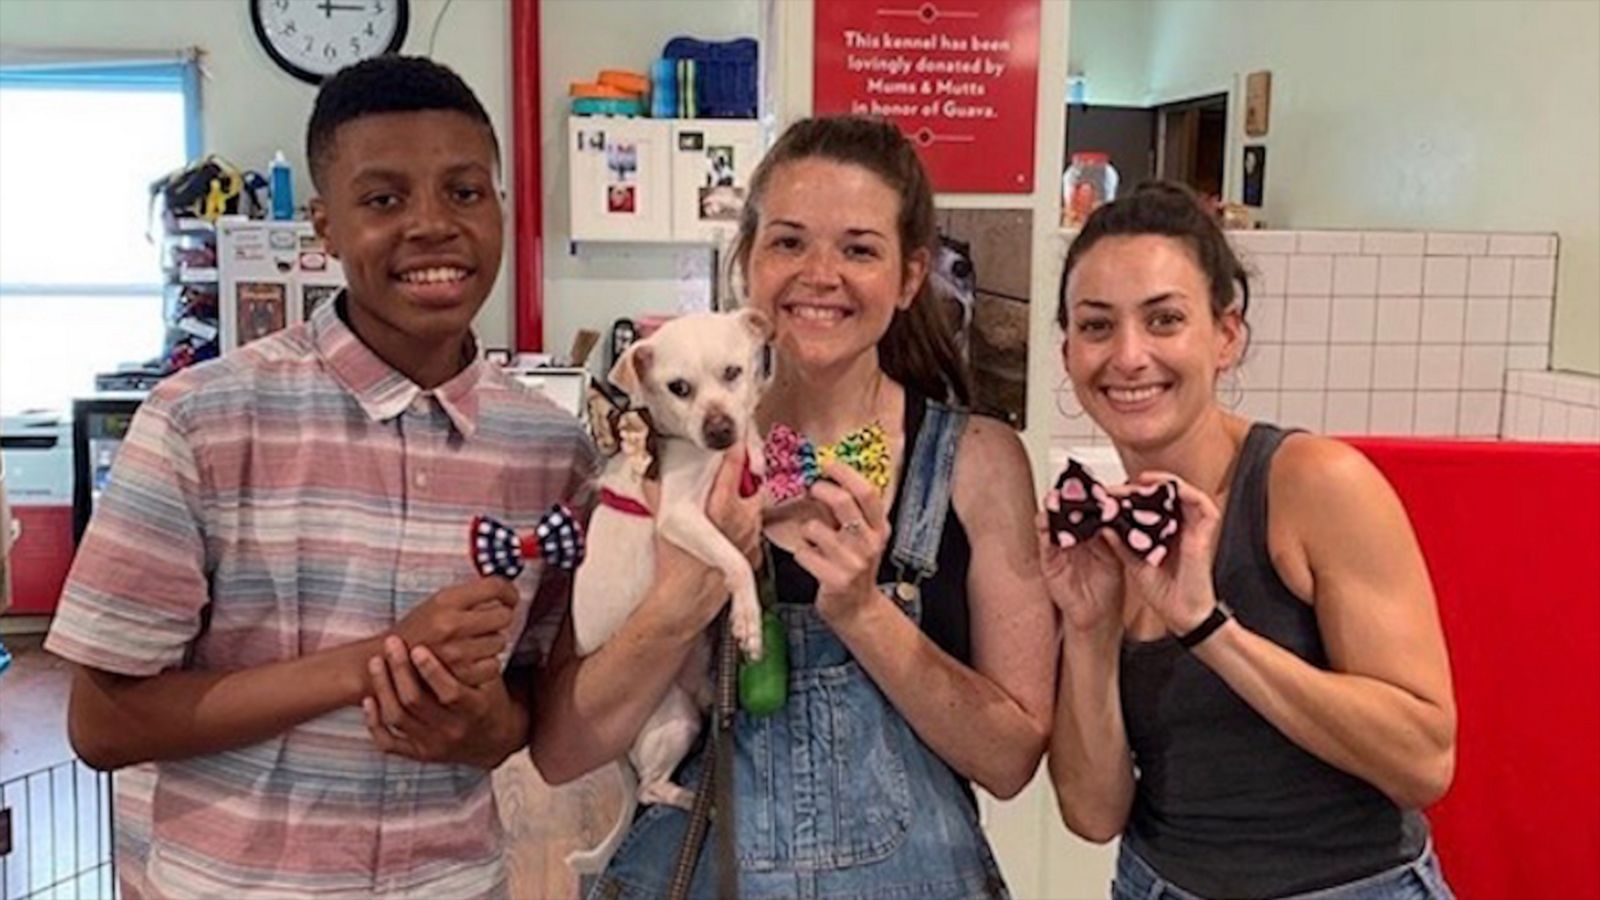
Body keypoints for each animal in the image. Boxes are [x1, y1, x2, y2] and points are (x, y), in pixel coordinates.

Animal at [566, 305, 771, 871]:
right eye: (679, 388)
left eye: (733, 372)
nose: (720, 429)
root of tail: (616, 755)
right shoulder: (681, 517)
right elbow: (734, 561)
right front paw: (748, 620)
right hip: (672, 721)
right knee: (648, 789)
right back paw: (691, 799)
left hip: (694, 712)